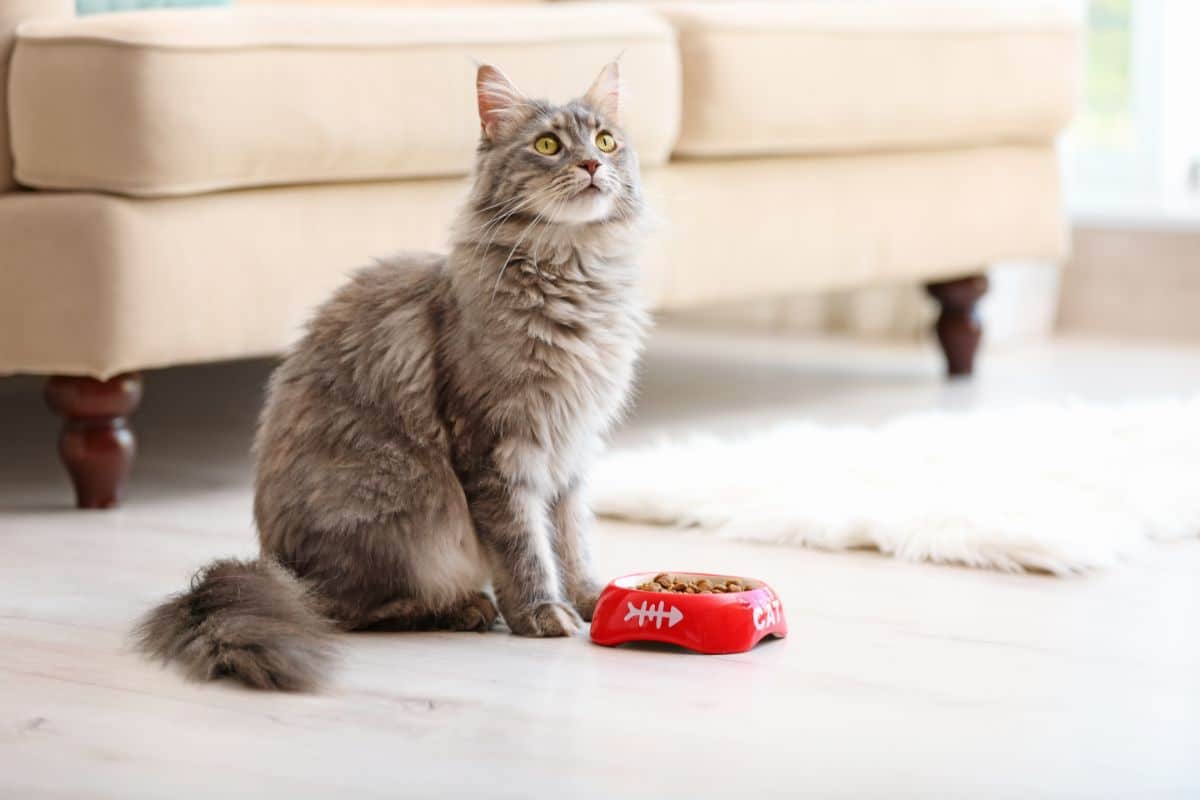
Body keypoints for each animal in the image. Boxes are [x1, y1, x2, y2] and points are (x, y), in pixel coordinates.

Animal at [133, 62, 648, 690]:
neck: (574, 274)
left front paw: (592, 599)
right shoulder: (498, 450)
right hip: (407, 505)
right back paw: (462, 608)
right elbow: (525, 545)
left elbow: (573, 541)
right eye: (548, 145)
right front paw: (542, 613)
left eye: (606, 141)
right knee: (342, 610)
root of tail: (273, 566)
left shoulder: (571, 450)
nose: (592, 165)